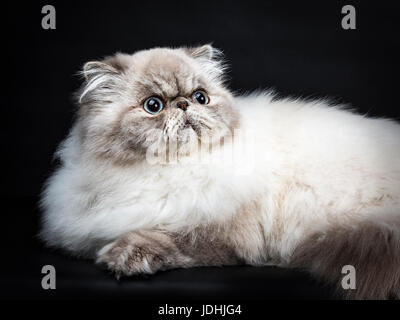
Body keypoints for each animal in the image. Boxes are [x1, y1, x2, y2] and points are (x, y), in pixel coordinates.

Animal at [39, 45, 400, 300]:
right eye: (153, 106)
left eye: (201, 97)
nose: (184, 104)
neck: (173, 169)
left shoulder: (221, 232)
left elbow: (168, 238)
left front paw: (122, 257)